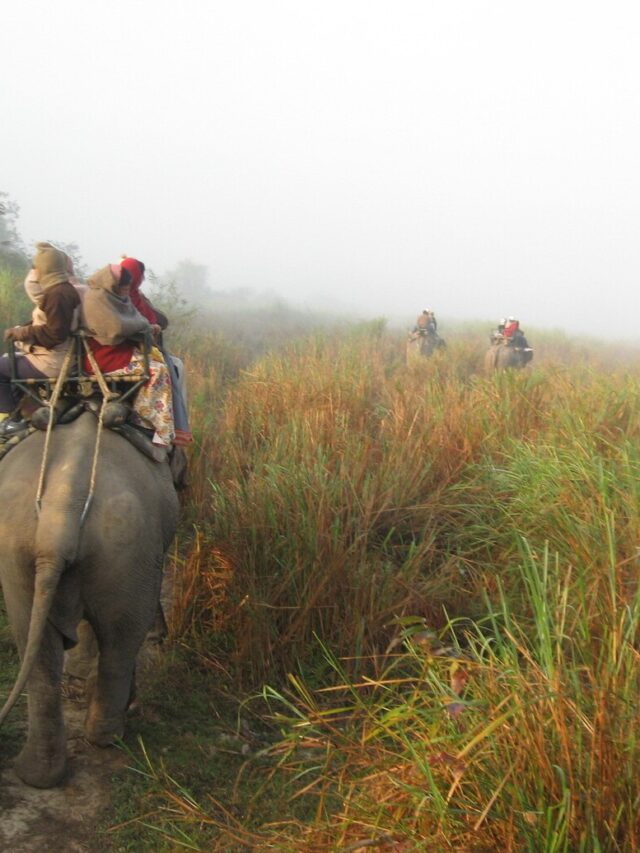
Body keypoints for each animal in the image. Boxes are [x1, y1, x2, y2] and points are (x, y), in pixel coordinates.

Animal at [0, 412, 179, 784]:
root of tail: (62, 506)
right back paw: (108, 734)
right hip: (128, 544)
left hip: (18, 549)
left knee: (35, 644)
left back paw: (37, 774)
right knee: (122, 638)